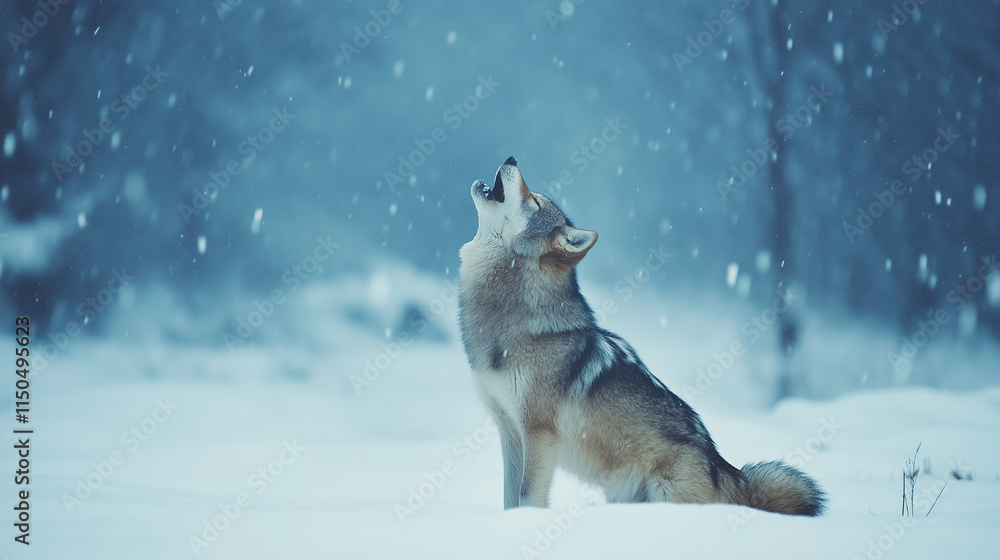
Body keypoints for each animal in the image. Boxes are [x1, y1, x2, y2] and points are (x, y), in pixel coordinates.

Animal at [457, 156, 824, 516]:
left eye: (534, 201)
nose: (511, 158)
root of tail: (727, 472)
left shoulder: (539, 433)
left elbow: (526, 497)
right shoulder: (508, 430)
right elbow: (509, 499)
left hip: (664, 492)